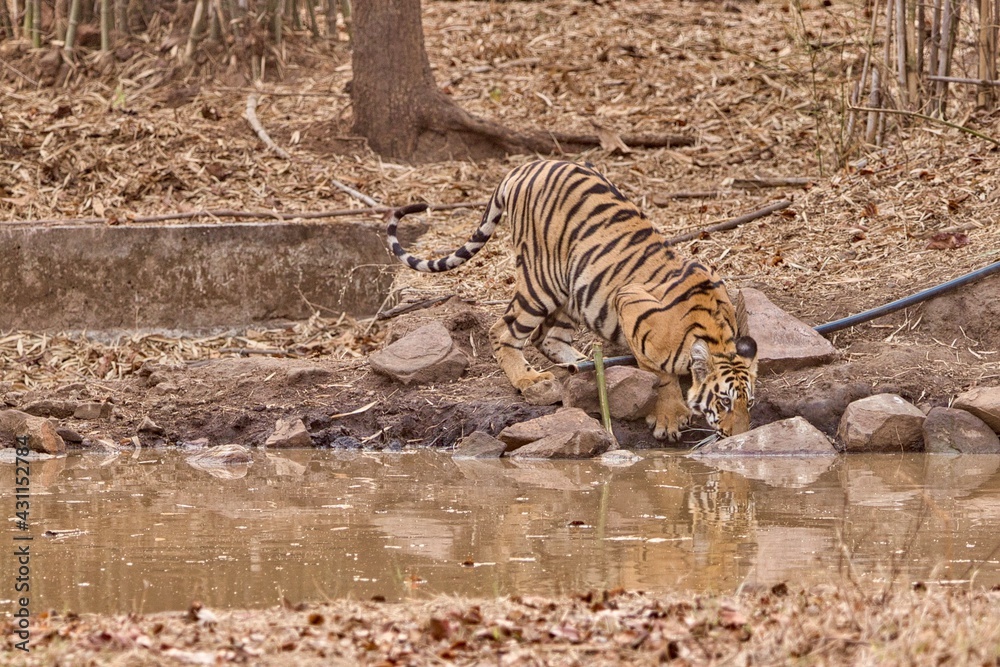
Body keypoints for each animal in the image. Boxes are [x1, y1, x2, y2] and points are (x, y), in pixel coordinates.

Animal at [386, 160, 758, 441]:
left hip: (575, 289)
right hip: (541, 281)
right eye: (723, 402)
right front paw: (669, 417)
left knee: (548, 337)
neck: (716, 334)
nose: (739, 436)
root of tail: (522, 168)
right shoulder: (628, 299)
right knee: (503, 331)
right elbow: (659, 373)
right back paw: (531, 381)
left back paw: (584, 364)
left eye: (749, 404)